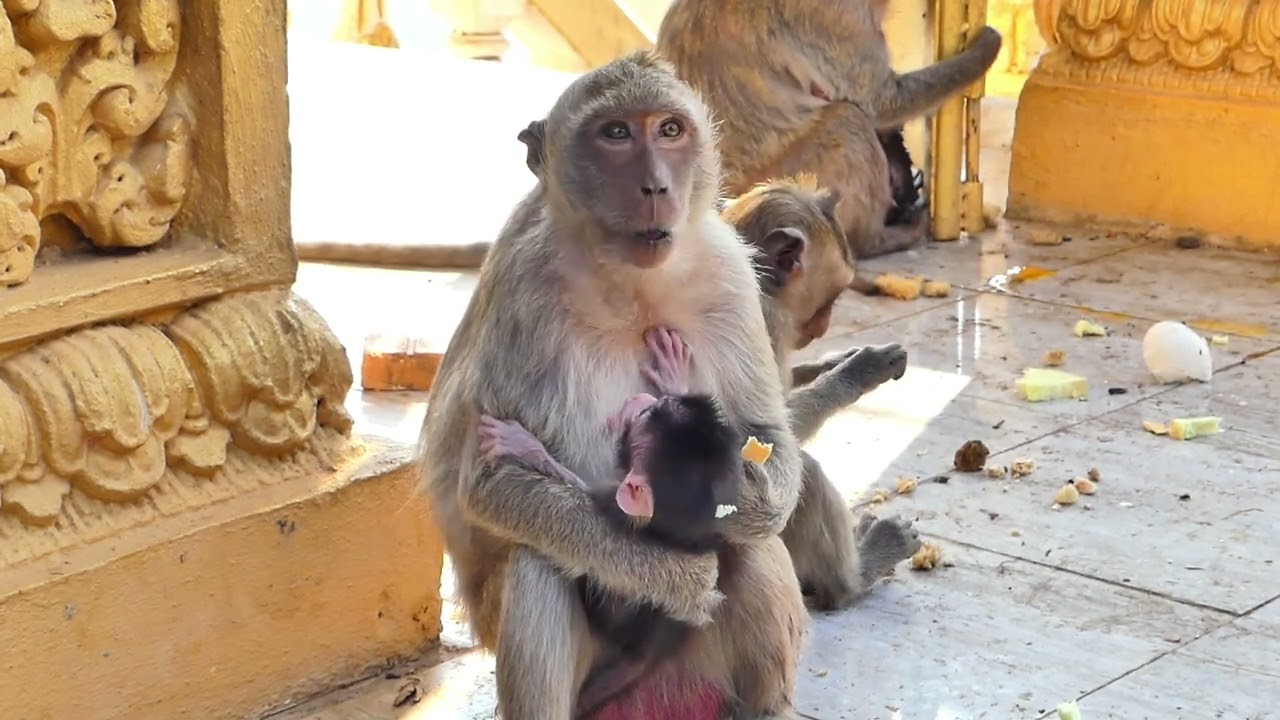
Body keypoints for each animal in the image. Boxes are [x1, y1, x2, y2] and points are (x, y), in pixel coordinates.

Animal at [477, 327, 747, 718]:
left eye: (646, 415)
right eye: (656, 408)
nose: (641, 400)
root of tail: (647, 653)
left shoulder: (617, 503)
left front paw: (524, 445)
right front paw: (677, 376)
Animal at [722, 175, 923, 610]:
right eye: (829, 299)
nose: (825, 326)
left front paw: (835, 360)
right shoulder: (761, 319)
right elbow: (765, 441)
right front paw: (857, 372)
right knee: (802, 472)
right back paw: (854, 578)